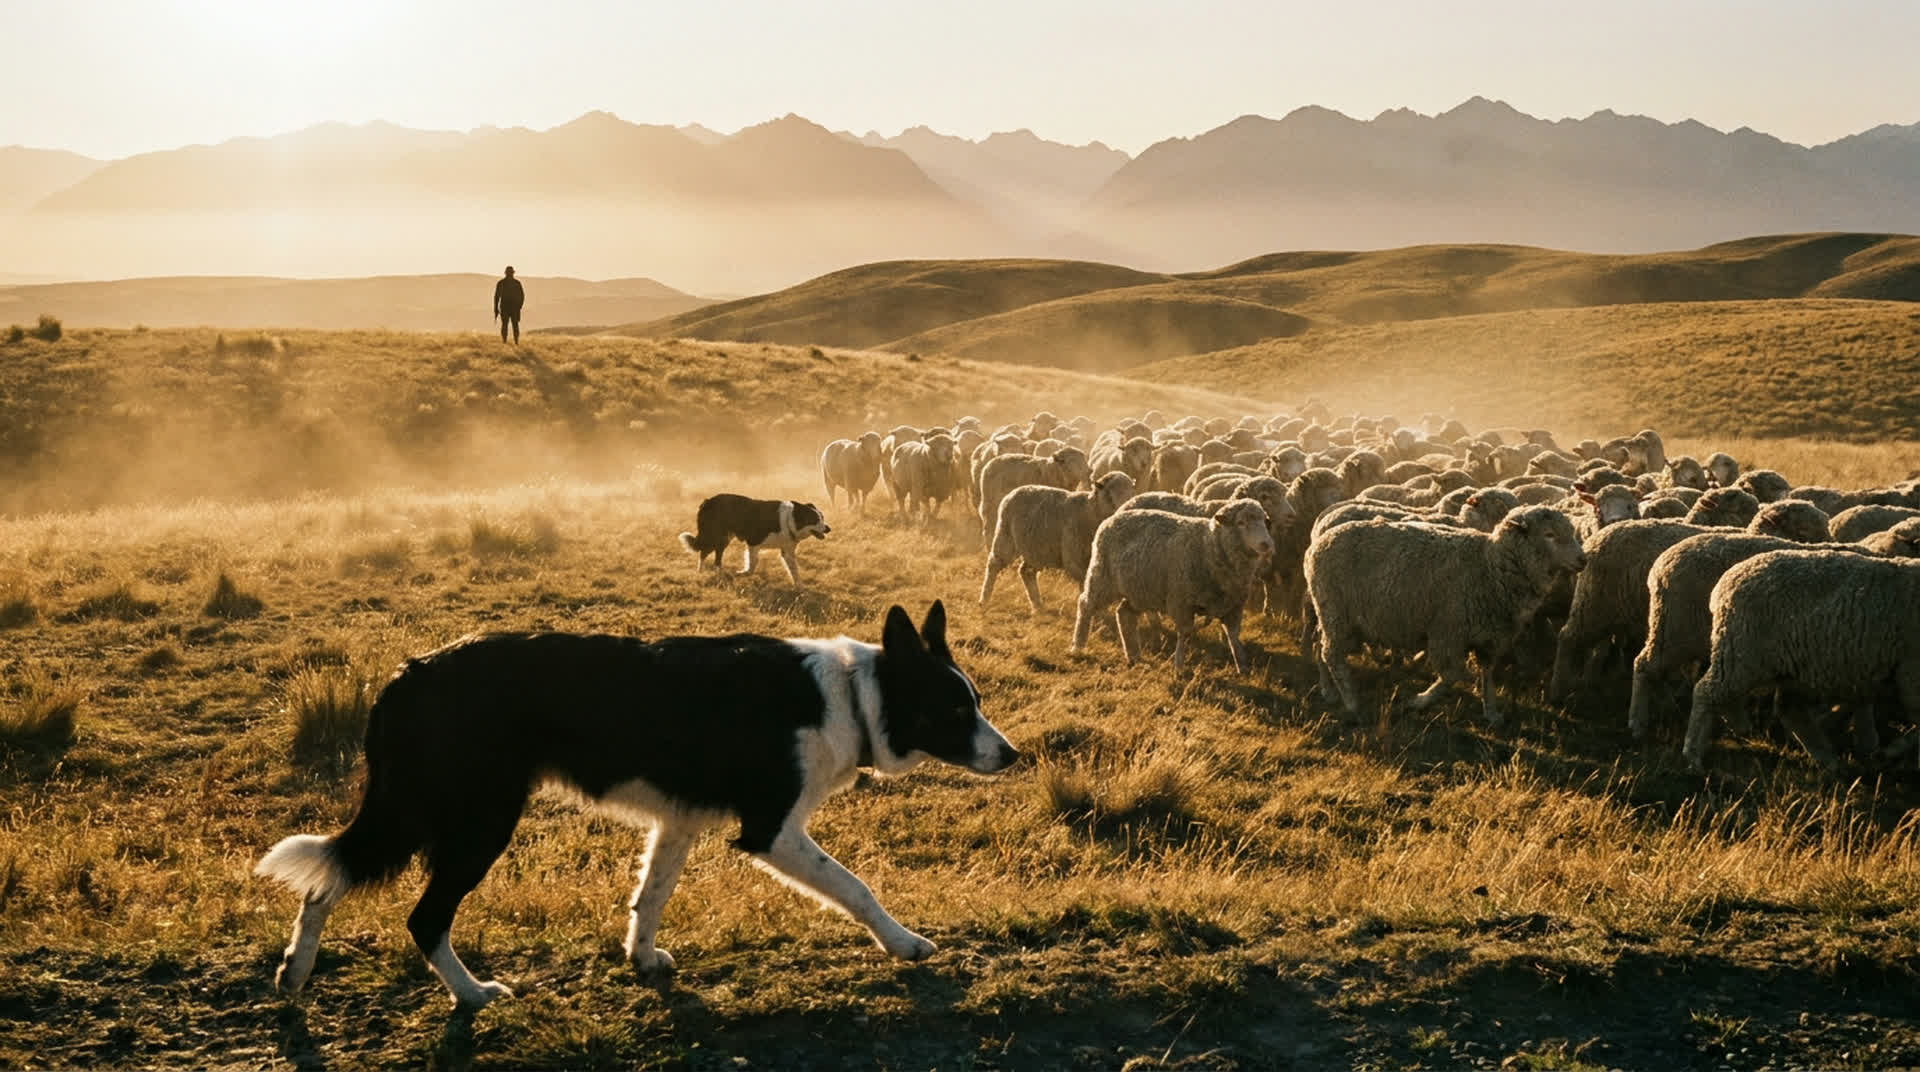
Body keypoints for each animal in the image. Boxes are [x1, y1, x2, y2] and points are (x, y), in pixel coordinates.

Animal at [980, 472, 1136, 612]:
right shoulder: (1074, 559)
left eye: (1131, 494)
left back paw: (1037, 605)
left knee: (1026, 571)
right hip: (1006, 537)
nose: (1124, 509)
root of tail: (1014, 491)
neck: (1089, 511)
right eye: (1109, 495)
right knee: (994, 564)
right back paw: (984, 599)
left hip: (1037, 549)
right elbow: (1084, 584)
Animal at [1070, 498, 1275, 674]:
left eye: (1265, 521)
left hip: (1140, 590)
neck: (1209, 546)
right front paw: (1179, 665)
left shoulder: (1233, 606)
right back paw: (1078, 646)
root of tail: (1111, 518)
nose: (1266, 544)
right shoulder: (1182, 601)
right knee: (1085, 605)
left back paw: (1133, 655)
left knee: (1124, 614)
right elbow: (1184, 633)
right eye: (1241, 522)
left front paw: (1243, 666)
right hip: (1102, 578)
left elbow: (1233, 636)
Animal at [1306, 507, 1588, 726]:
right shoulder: (1446, 632)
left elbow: (1487, 675)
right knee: (1332, 654)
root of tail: (1316, 544)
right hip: (1336, 612)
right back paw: (1353, 704)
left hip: (1330, 614)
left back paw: (1328, 690)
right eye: (1549, 535)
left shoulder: (1490, 637)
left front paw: (1492, 713)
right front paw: (1419, 701)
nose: (1583, 560)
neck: (1491, 565)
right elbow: (1452, 675)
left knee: (1320, 645)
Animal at [1684, 551, 1920, 772]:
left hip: (1791, 667)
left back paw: (1826, 758)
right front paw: (1889, 751)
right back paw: (1693, 757)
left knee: (1789, 709)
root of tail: (1725, 583)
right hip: (1742, 653)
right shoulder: (1910, 673)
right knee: (1706, 693)